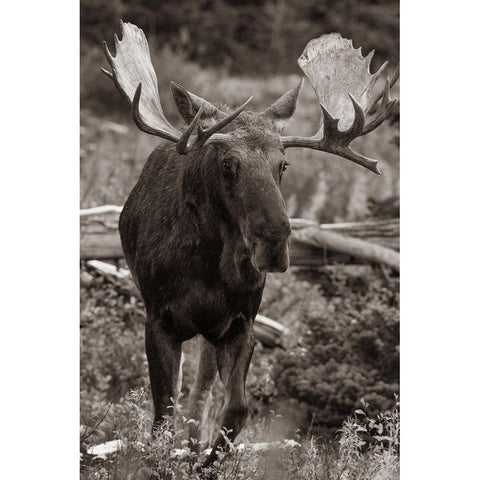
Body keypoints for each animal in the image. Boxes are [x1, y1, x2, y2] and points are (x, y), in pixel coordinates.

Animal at [102, 21, 398, 468]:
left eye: (283, 164)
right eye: (227, 163)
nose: (274, 242)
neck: (207, 267)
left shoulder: (241, 323)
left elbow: (236, 409)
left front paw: (208, 460)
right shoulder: (158, 319)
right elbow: (162, 413)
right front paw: (162, 459)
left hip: (213, 333)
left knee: (201, 392)